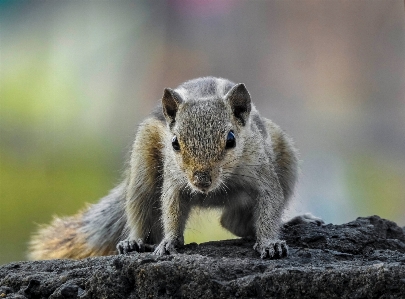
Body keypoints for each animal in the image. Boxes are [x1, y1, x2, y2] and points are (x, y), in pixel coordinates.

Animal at [27, 76, 322, 262]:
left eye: (231, 139)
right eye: (175, 143)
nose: (201, 180)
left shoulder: (263, 175)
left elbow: (270, 205)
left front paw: (271, 242)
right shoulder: (174, 180)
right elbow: (170, 208)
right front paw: (169, 241)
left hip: (286, 159)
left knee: (233, 222)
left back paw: (292, 221)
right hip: (142, 169)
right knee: (141, 209)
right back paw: (134, 242)